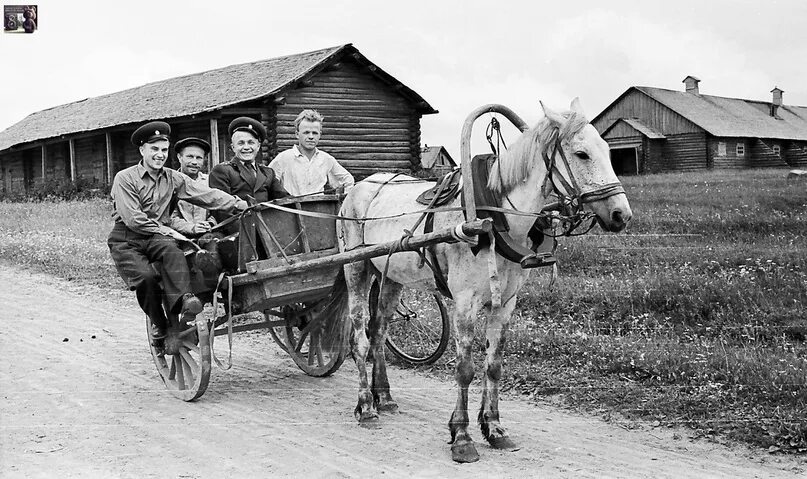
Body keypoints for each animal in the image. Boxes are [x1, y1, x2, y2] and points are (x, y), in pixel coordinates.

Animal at [320, 99, 632, 464]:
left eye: (608, 151)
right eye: (581, 154)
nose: (621, 215)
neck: (494, 221)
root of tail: (358, 188)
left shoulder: (505, 304)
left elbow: (493, 366)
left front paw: (494, 429)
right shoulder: (465, 303)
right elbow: (465, 369)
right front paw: (462, 436)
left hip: (392, 276)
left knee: (380, 331)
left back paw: (383, 396)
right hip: (356, 268)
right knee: (360, 338)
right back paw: (366, 406)